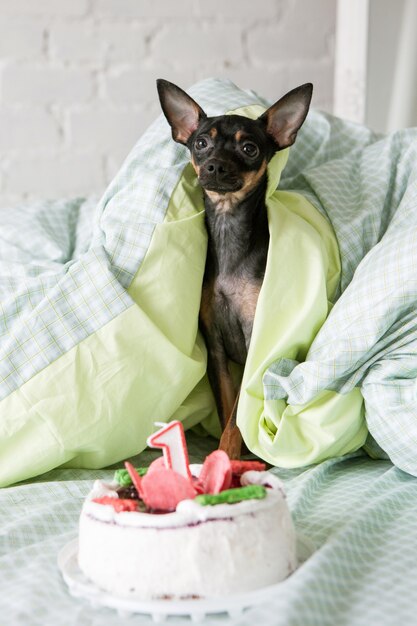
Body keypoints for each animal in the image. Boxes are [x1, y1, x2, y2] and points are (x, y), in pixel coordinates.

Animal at [157, 79, 312, 458]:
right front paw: (227, 454)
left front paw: (229, 455)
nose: (214, 166)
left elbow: (237, 416)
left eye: (249, 148)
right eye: (201, 143)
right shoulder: (215, 349)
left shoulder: (256, 342)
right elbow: (228, 408)